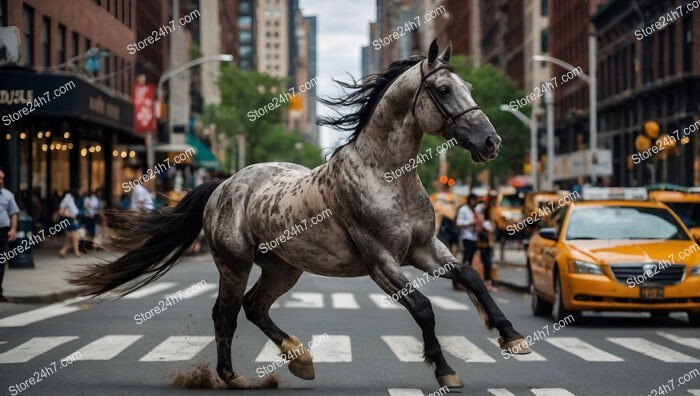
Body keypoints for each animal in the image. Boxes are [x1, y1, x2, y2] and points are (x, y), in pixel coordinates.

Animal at [71, 41, 532, 390]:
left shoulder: (423, 247)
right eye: (443, 88)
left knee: (255, 307)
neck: (387, 175)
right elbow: (422, 308)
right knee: (226, 313)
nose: (490, 141)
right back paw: (232, 377)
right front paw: (445, 369)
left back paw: (299, 357)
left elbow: (471, 276)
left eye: (467, 85)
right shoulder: (380, 260)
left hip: (283, 267)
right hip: (234, 263)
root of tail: (224, 184)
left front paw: (513, 338)